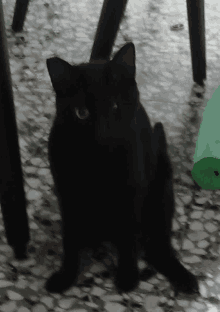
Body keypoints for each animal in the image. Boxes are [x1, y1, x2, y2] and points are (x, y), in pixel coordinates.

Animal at [45, 42, 199, 294]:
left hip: (161, 196)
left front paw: (128, 276)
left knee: (158, 247)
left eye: (115, 106)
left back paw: (183, 277)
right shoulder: (67, 197)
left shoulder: (131, 196)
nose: (103, 133)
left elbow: (128, 239)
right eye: (81, 113)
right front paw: (66, 275)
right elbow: (70, 240)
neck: (99, 163)